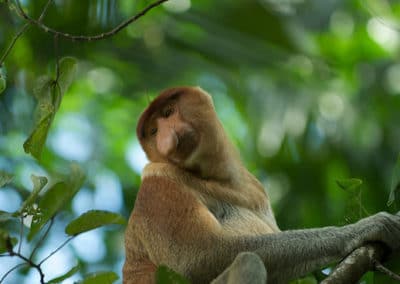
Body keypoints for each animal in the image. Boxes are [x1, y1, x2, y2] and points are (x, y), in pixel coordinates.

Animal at [123, 87, 400, 284]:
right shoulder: (157, 185)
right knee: (247, 261)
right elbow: (197, 257)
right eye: (154, 131)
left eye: (168, 113)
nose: (164, 139)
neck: (216, 177)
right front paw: (372, 226)